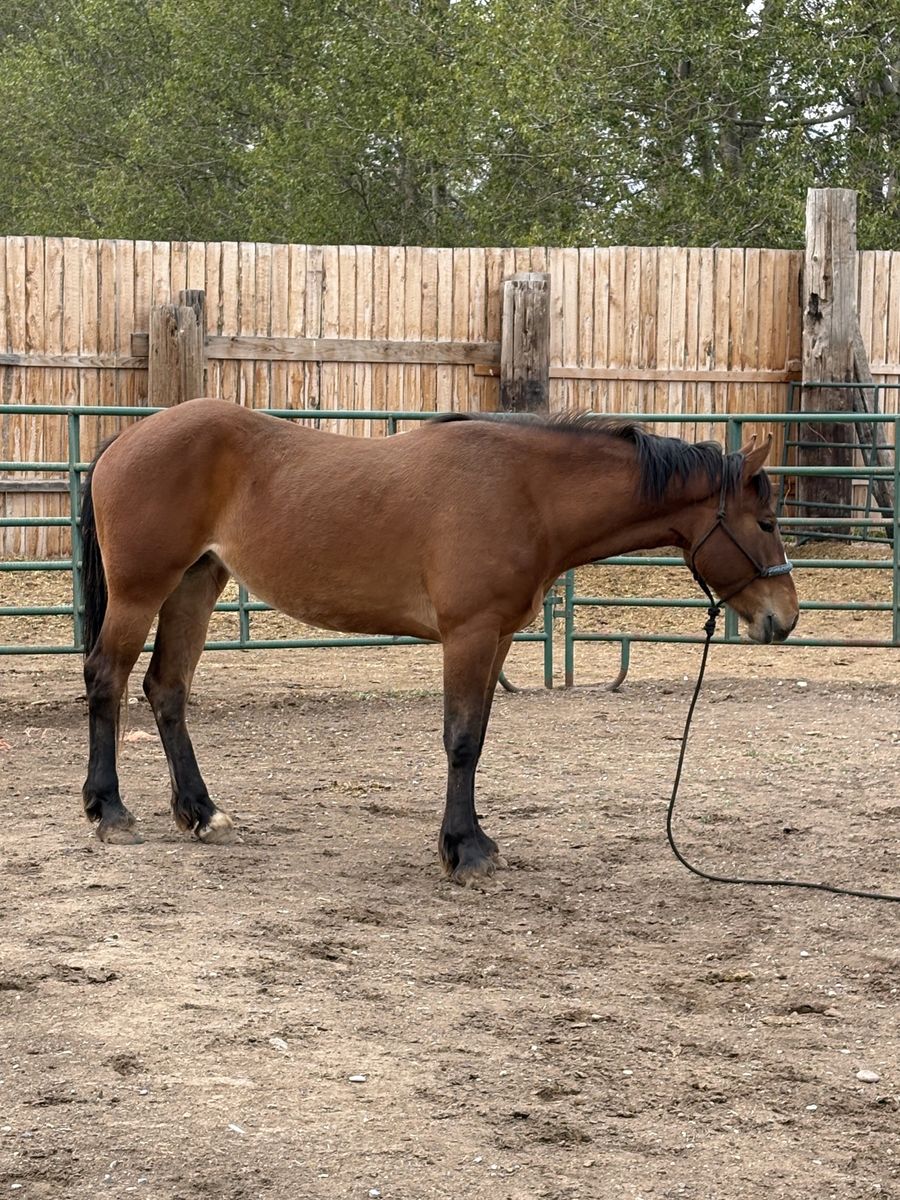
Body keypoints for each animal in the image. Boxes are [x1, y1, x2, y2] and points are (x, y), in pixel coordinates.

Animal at [79, 399, 798, 883]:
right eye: (764, 522)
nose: (784, 618)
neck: (526, 490)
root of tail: (127, 436)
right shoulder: (469, 634)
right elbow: (461, 740)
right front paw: (465, 849)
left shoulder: (497, 638)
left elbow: (476, 738)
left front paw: (471, 840)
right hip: (143, 591)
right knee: (107, 679)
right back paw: (109, 811)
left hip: (196, 584)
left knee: (166, 690)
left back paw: (201, 813)